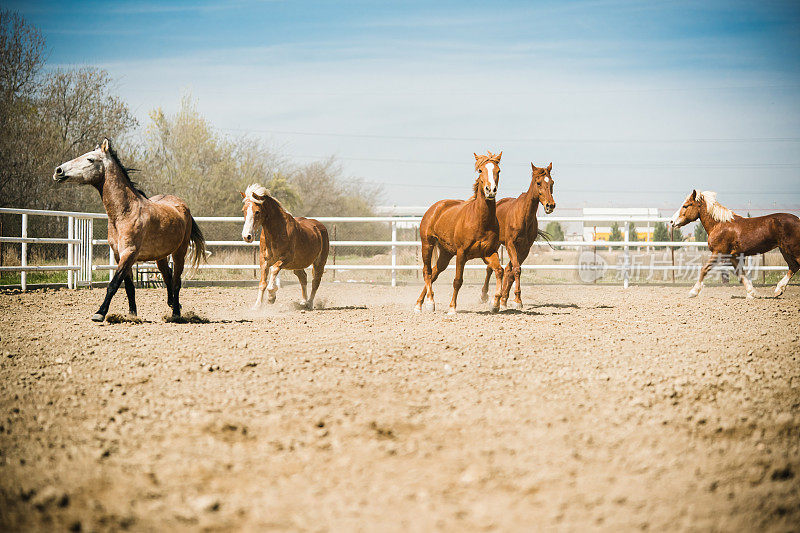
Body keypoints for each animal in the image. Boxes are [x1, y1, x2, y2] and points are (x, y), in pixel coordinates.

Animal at [52, 138, 205, 320]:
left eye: (90, 159)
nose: (58, 171)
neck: (125, 212)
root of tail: (182, 206)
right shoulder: (119, 255)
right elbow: (129, 286)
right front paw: (132, 315)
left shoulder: (129, 253)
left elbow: (114, 284)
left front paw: (100, 313)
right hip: (160, 256)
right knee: (167, 276)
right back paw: (173, 305)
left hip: (179, 252)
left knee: (176, 281)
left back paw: (175, 313)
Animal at [416, 150, 504, 314]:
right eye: (480, 170)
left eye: (498, 170)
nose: (490, 190)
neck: (480, 220)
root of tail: (435, 208)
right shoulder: (461, 253)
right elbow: (458, 281)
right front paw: (452, 308)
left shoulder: (489, 253)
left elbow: (499, 270)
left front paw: (495, 304)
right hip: (427, 245)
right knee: (427, 272)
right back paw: (429, 303)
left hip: (446, 253)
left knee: (435, 272)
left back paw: (419, 303)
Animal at [482, 164, 556, 310]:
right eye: (538, 183)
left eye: (552, 183)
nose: (550, 205)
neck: (524, 216)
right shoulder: (511, 244)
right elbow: (516, 270)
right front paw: (517, 300)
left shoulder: (525, 248)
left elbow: (512, 271)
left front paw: (507, 299)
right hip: (497, 244)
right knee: (489, 269)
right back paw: (484, 296)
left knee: (506, 269)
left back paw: (502, 299)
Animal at [668, 190, 800, 300]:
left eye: (686, 205)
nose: (672, 222)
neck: (718, 225)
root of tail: (798, 220)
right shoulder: (733, 256)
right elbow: (741, 274)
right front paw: (752, 293)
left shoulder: (718, 252)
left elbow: (704, 269)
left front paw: (693, 292)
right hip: (784, 250)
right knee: (793, 267)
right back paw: (778, 290)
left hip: (793, 249)